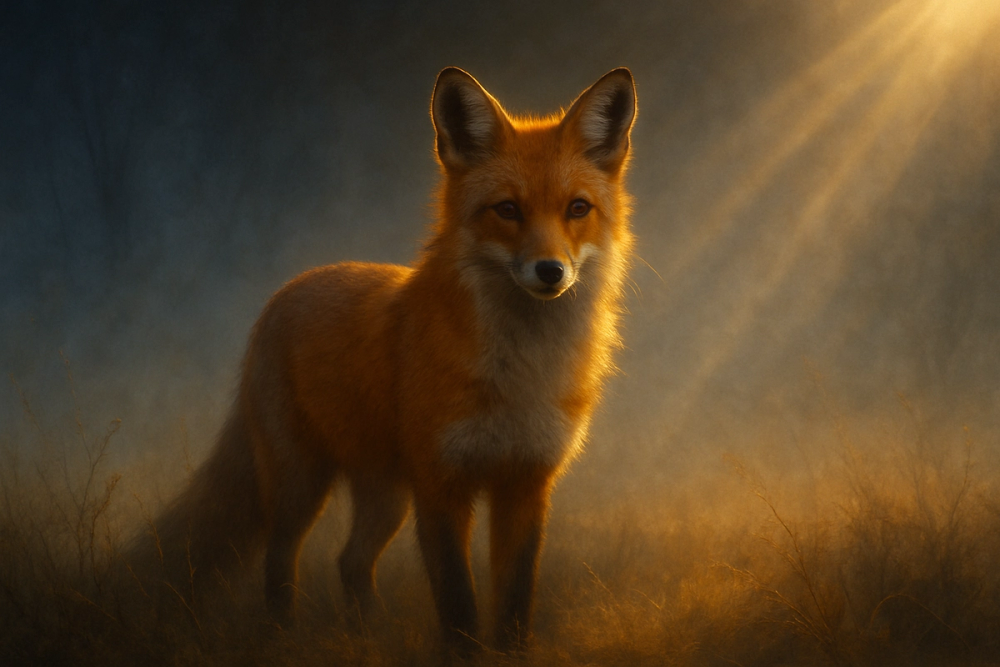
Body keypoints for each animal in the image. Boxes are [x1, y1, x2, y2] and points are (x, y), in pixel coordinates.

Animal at [145, 66, 637, 652]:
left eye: (577, 209)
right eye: (508, 210)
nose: (550, 271)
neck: (520, 375)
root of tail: (289, 288)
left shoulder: (526, 484)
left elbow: (516, 601)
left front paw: (511, 653)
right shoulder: (441, 485)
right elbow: (458, 602)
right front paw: (462, 654)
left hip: (385, 497)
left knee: (350, 563)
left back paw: (366, 638)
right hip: (300, 484)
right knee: (279, 561)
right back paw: (284, 637)